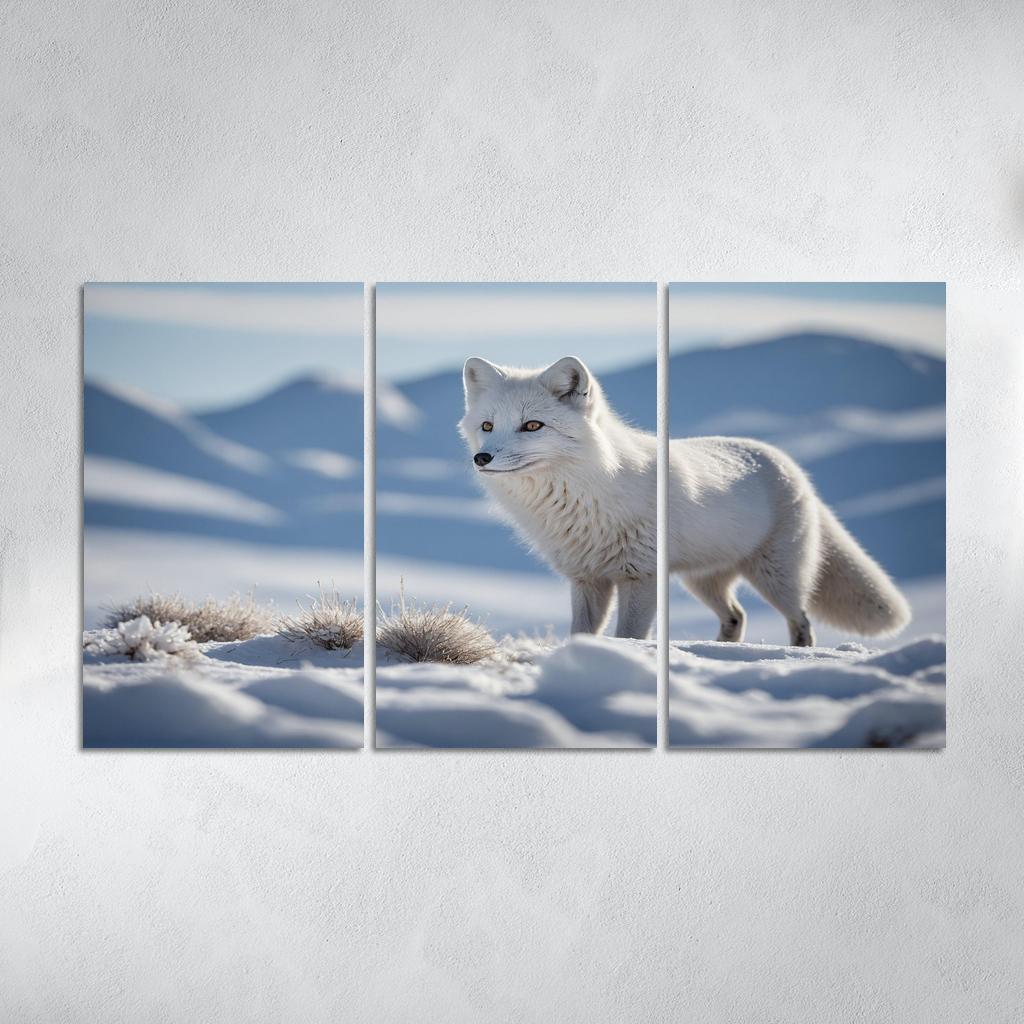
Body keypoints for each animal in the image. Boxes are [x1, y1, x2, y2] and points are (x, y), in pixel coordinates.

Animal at [460, 354, 910, 646]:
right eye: (488, 426)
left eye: (532, 426)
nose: (482, 458)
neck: (584, 496)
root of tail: (787, 462)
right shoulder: (587, 578)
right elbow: (583, 633)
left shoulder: (640, 576)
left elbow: (629, 636)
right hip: (703, 580)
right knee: (737, 616)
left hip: (777, 577)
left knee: (801, 621)